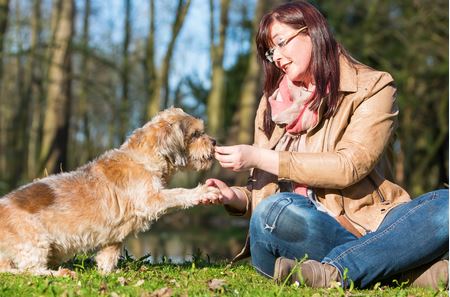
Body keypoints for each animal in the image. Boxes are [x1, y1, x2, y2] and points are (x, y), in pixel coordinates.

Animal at [0, 107, 220, 276]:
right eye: (196, 134)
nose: (215, 141)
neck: (143, 159)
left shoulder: (115, 235)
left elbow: (109, 255)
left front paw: (107, 272)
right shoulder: (152, 199)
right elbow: (179, 193)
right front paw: (203, 192)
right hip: (36, 244)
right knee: (28, 270)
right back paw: (61, 273)